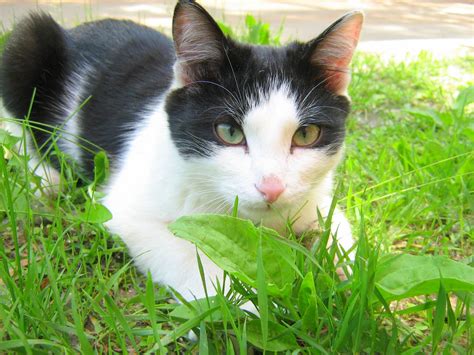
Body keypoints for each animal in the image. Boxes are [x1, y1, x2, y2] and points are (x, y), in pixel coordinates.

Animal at [0, 0, 362, 304]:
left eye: (306, 134)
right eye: (229, 132)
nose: (271, 188)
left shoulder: (313, 198)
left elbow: (338, 226)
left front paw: (353, 283)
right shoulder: (126, 209)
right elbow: (185, 252)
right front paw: (243, 304)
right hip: (28, 42)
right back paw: (46, 177)